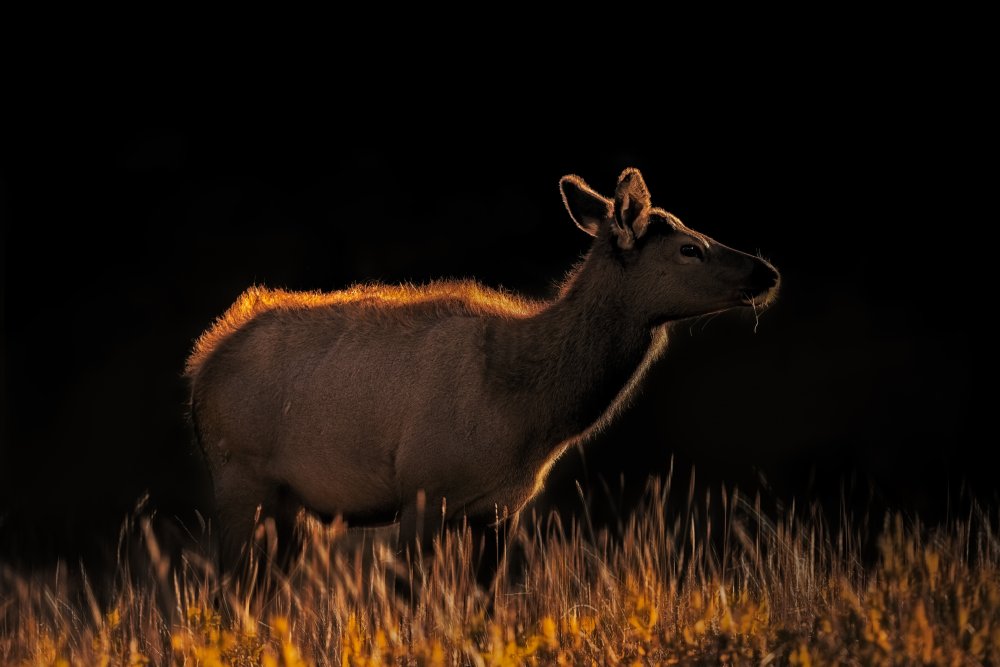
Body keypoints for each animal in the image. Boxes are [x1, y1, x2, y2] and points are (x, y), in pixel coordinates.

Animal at [188, 168, 780, 584]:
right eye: (690, 248)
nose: (768, 271)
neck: (528, 417)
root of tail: (201, 366)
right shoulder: (422, 489)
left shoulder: (499, 511)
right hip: (238, 474)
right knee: (229, 589)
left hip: (289, 504)